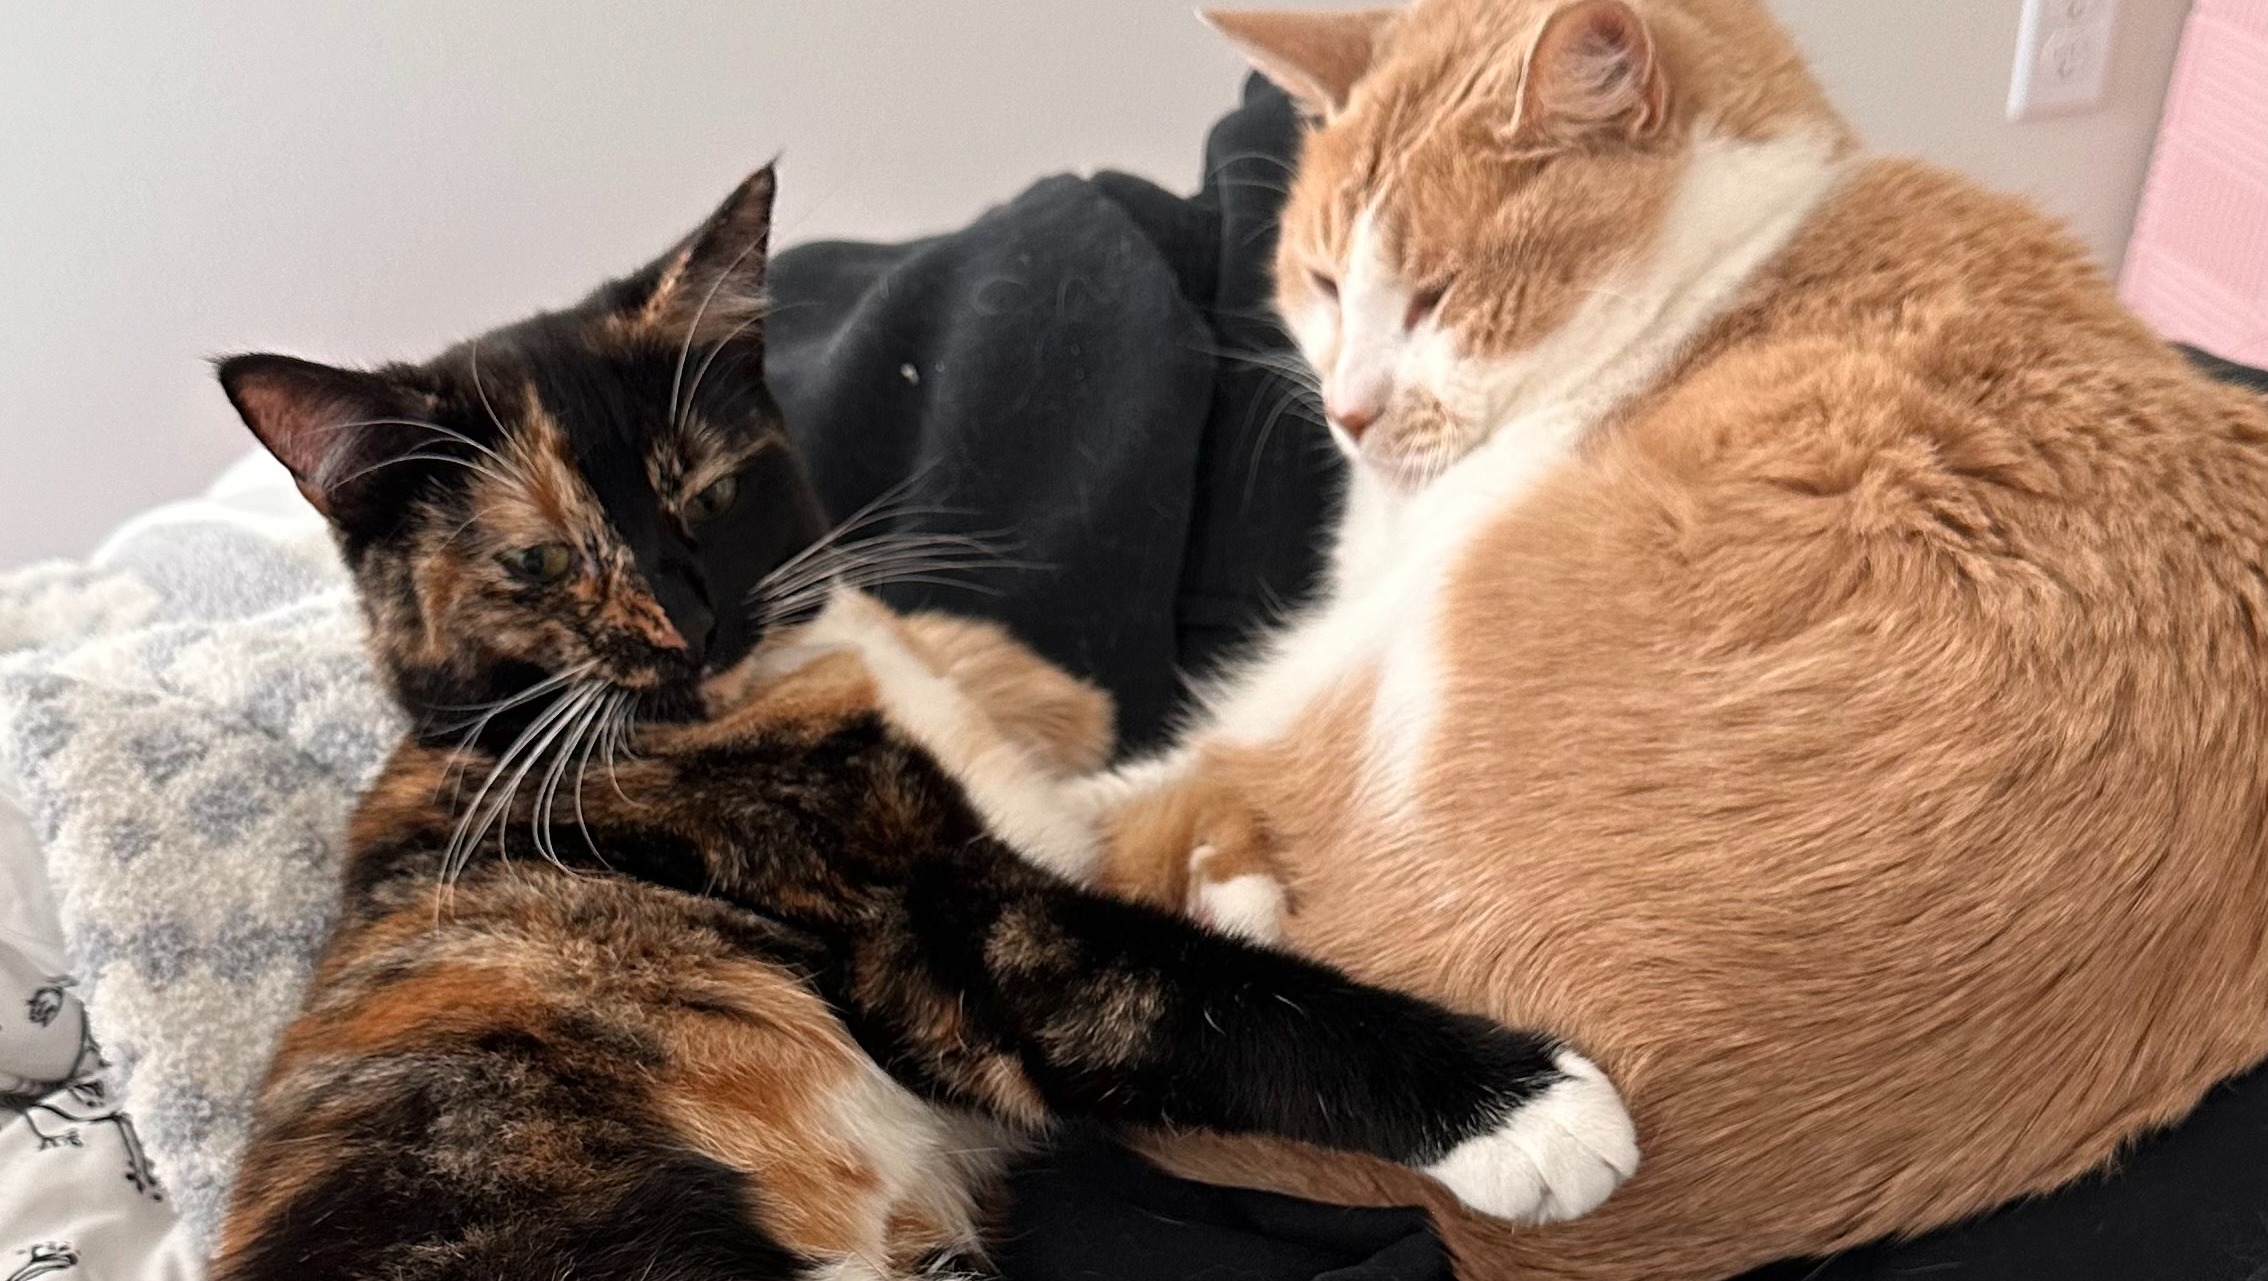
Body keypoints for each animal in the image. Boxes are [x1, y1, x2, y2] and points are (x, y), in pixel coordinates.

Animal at [205, 163, 1640, 1281]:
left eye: (710, 494)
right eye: (540, 562)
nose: (691, 621)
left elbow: (1103, 805)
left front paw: (1218, 863)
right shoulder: (933, 934)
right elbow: (1186, 990)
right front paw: (1528, 1111)